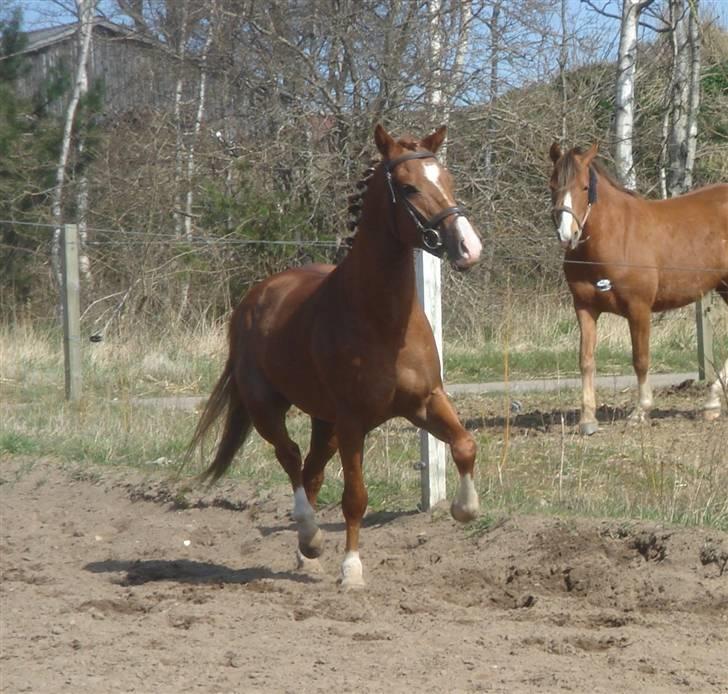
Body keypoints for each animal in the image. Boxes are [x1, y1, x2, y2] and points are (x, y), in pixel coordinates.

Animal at [188, 123, 484, 588]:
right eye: (408, 187)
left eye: (449, 180)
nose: (469, 247)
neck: (383, 321)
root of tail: (255, 298)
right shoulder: (352, 423)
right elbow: (354, 497)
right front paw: (352, 570)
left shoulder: (425, 402)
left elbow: (465, 445)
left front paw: (465, 509)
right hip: (267, 408)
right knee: (290, 458)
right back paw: (309, 536)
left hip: (323, 423)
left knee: (311, 470)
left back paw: (306, 554)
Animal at [548, 141, 728, 436]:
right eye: (553, 185)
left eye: (584, 187)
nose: (567, 236)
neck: (611, 239)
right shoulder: (585, 309)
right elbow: (586, 360)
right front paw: (588, 419)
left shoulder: (639, 310)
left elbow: (640, 359)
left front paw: (640, 411)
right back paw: (712, 404)